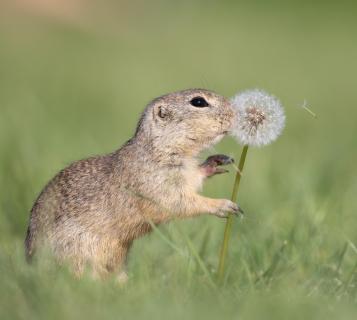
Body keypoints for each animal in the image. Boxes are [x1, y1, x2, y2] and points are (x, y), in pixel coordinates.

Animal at [25, 89, 242, 282]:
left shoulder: (185, 174)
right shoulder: (155, 185)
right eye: (198, 102)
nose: (235, 112)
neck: (159, 149)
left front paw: (216, 162)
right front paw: (224, 205)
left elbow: (196, 177)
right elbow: (177, 203)